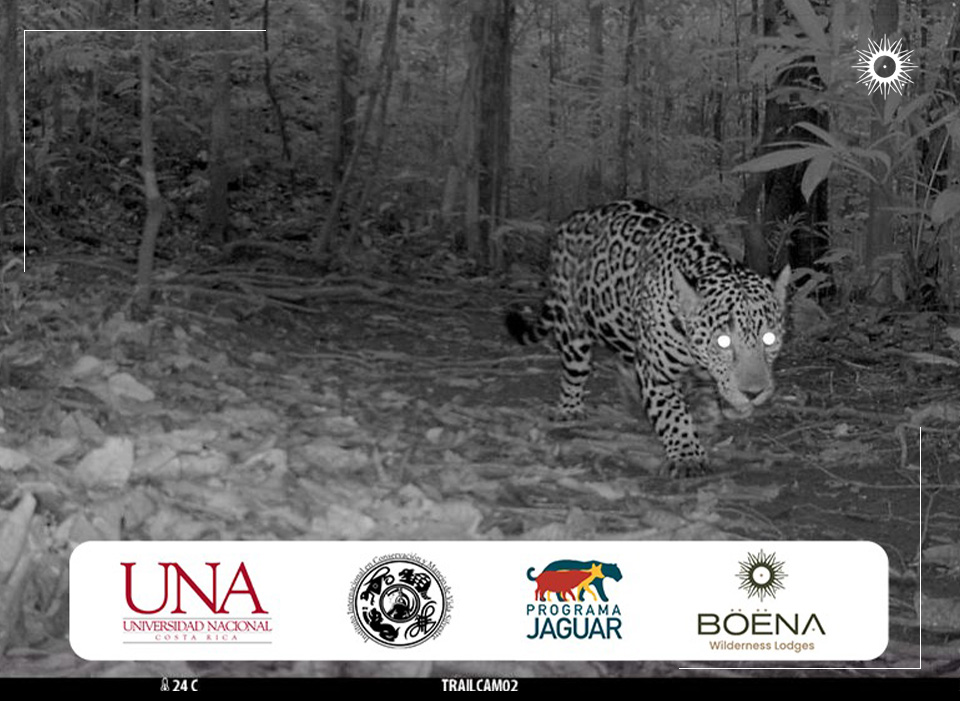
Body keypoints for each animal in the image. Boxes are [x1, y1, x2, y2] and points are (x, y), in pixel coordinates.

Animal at [505, 199, 790, 477]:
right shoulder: (657, 373)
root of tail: (573, 217)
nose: (753, 393)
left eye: (768, 338)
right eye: (723, 342)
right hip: (573, 326)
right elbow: (673, 414)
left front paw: (710, 417)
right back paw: (569, 409)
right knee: (574, 372)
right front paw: (687, 457)